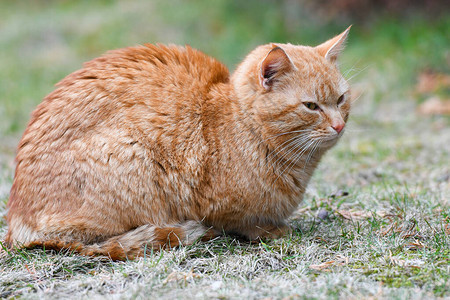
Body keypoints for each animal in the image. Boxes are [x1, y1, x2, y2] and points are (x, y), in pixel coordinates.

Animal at [5, 26, 354, 260]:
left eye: (340, 99)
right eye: (311, 106)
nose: (339, 125)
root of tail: (16, 223)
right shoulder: (215, 205)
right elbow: (243, 222)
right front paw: (270, 231)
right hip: (130, 155)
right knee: (93, 243)